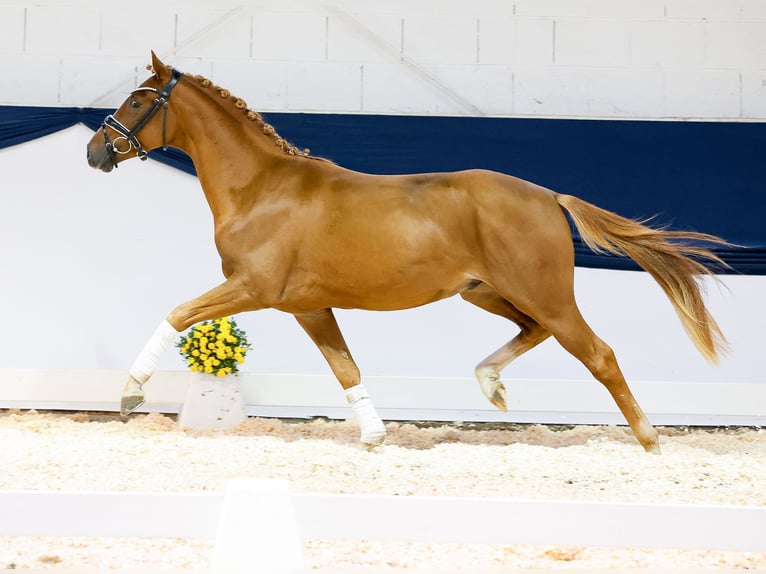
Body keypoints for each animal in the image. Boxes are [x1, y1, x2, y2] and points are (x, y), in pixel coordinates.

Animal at [87, 54, 728, 454]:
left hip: (544, 293)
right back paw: (491, 386)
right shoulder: (307, 306)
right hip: (489, 293)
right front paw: (375, 436)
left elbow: (176, 313)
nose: (96, 150)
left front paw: (129, 393)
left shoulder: (255, 289)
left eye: (140, 100)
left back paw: (650, 440)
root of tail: (549, 195)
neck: (261, 189)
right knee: (534, 331)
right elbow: (346, 368)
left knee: (600, 354)